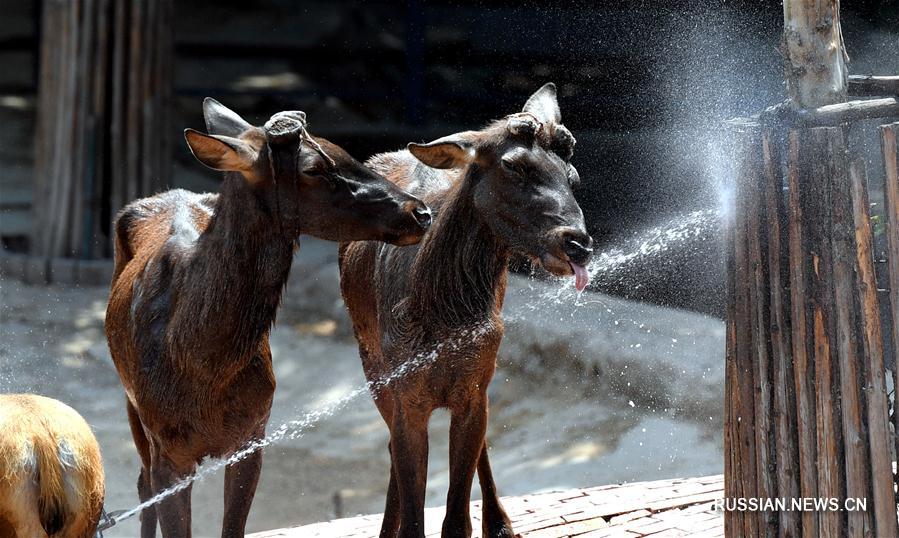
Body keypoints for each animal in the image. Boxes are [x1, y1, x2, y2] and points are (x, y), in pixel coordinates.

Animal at [103, 97, 434, 536]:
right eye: (314, 168)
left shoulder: (252, 434)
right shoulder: (169, 450)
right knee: (142, 485)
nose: (421, 212)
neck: (203, 364)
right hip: (132, 407)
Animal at [342, 81, 596, 532]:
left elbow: (457, 515)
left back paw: (500, 523)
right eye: (514, 166)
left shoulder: (475, 383)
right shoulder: (404, 391)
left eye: (572, 176)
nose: (578, 243)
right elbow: (414, 510)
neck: (440, 314)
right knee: (389, 447)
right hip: (369, 362)